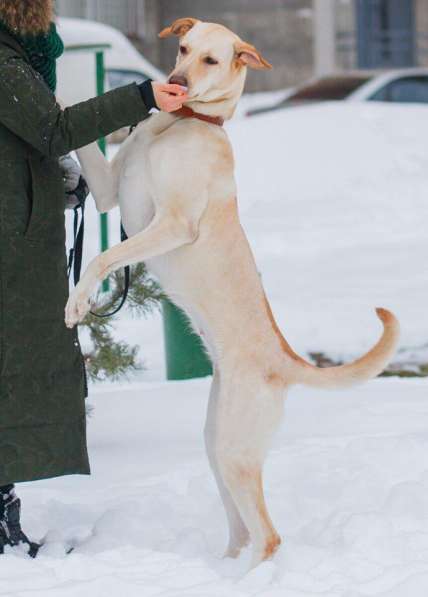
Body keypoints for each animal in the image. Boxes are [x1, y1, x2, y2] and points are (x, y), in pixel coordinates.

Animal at [65, 18, 400, 564]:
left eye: (211, 60)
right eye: (182, 48)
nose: (174, 82)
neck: (183, 123)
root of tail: (287, 361)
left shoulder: (174, 223)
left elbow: (101, 258)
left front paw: (78, 302)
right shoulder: (110, 191)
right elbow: (85, 141)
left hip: (234, 451)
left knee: (268, 537)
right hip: (215, 441)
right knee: (242, 532)